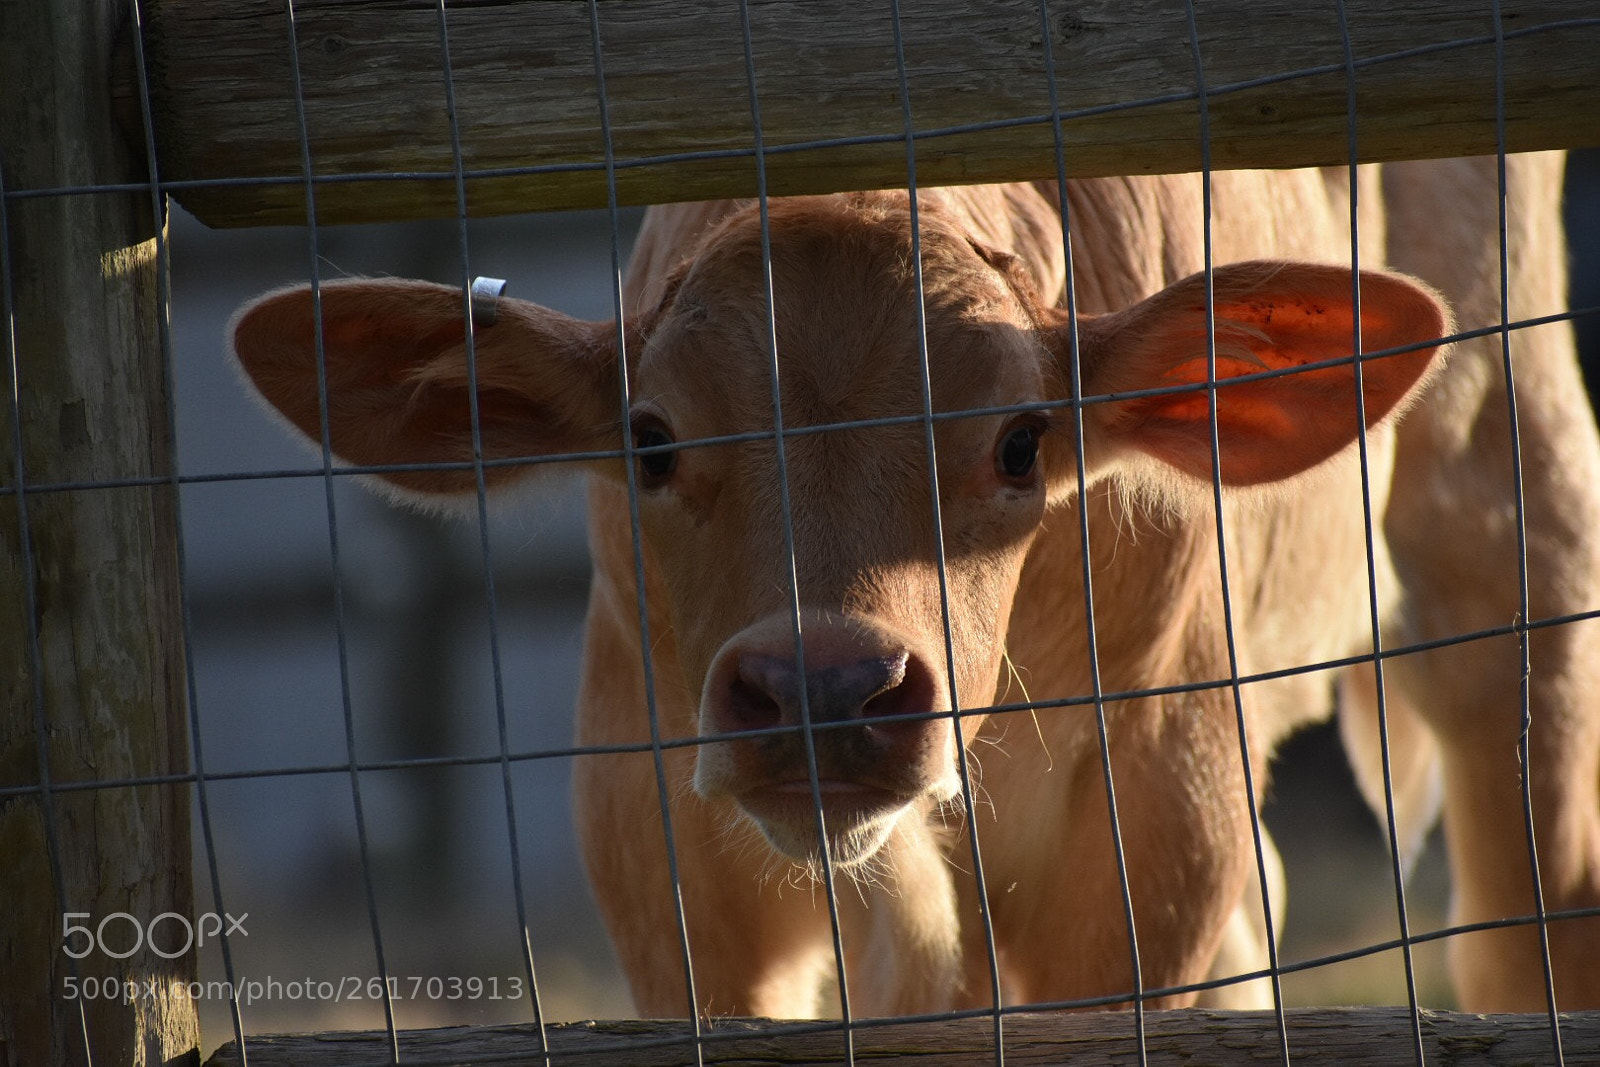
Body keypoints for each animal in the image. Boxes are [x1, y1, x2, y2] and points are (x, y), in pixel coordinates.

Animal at [230, 152, 1600, 1018]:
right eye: (650, 440)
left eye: (1022, 441)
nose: (823, 687)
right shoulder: (656, 844)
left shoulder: (1160, 812)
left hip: (1517, 538)